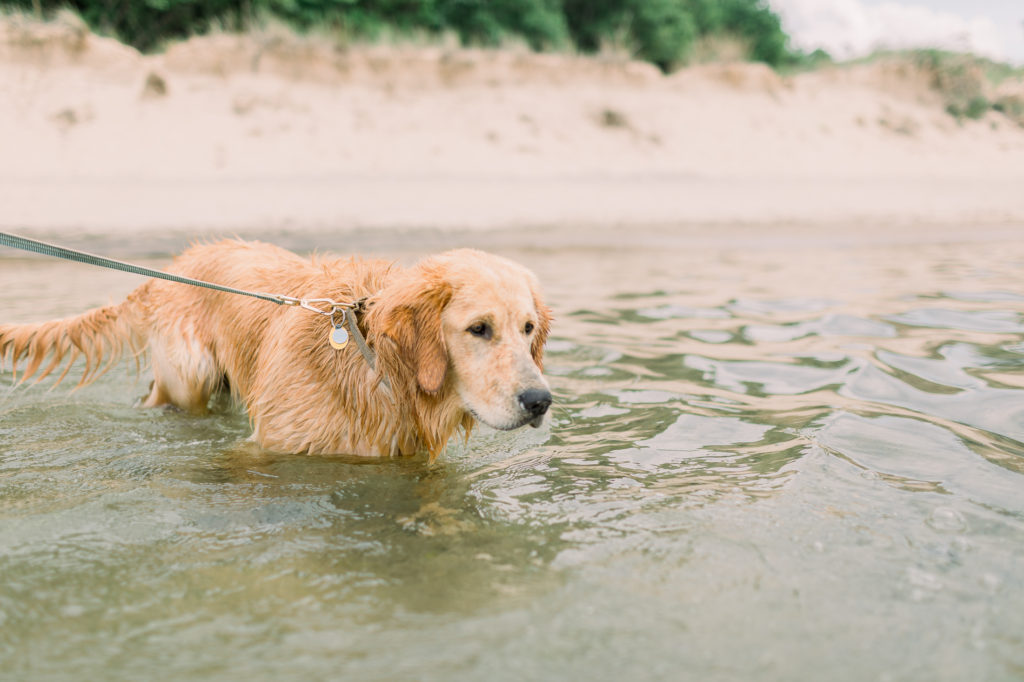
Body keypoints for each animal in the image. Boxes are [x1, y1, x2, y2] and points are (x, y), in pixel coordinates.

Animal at [0, 241, 552, 458]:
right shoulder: (271, 449)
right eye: (479, 329)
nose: (540, 401)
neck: (372, 362)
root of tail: (174, 265)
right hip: (189, 378)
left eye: (528, 329)